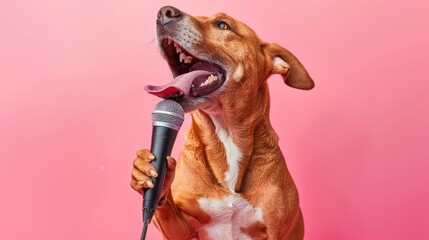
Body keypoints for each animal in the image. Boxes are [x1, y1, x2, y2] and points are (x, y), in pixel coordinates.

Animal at [129, 5, 312, 240]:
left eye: (223, 25)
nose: (164, 12)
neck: (225, 132)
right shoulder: (182, 230)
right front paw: (146, 170)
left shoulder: (277, 232)